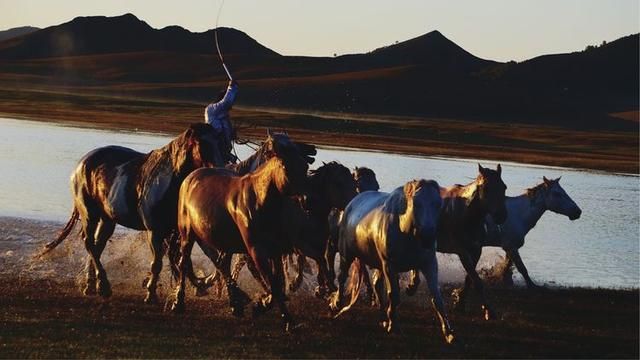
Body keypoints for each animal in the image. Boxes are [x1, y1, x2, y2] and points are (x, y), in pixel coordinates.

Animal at [40, 122, 220, 302]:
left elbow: (192, 259)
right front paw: (151, 294)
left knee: (97, 246)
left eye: (221, 142)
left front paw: (199, 286)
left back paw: (92, 286)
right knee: (89, 243)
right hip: (89, 214)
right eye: (202, 144)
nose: (216, 170)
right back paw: (103, 286)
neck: (168, 183)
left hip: (107, 219)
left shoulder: (179, 231)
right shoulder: (155, 231)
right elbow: (158, 263)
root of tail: (82, 163)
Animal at [170, 136, 310, 332]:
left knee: (222, 265)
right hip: (187, 235)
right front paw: (287, 319)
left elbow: (278, 283)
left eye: (304, 165)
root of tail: (190, 177)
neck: (260, 200)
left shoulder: (275, 250)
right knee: (183, 264)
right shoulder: (256, 251)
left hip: (225, 244)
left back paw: (235, 304)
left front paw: (261, 305)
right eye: (285, 165)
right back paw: (178, 302)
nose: (307, 200)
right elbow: (273, 284)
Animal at [330, 179, 456, 344]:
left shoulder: (429, 264)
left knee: (377, 284)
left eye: (438, 204)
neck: (404, 229)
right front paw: (393, 325)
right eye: (416, 203)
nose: (427, 236)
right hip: (347, 255)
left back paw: (383, 317)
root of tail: (352, 203)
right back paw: (337, 304)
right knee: (342, 277)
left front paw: (448, 332)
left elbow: (437, 298)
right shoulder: (390, 266)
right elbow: (393, 295)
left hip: (377, 263)